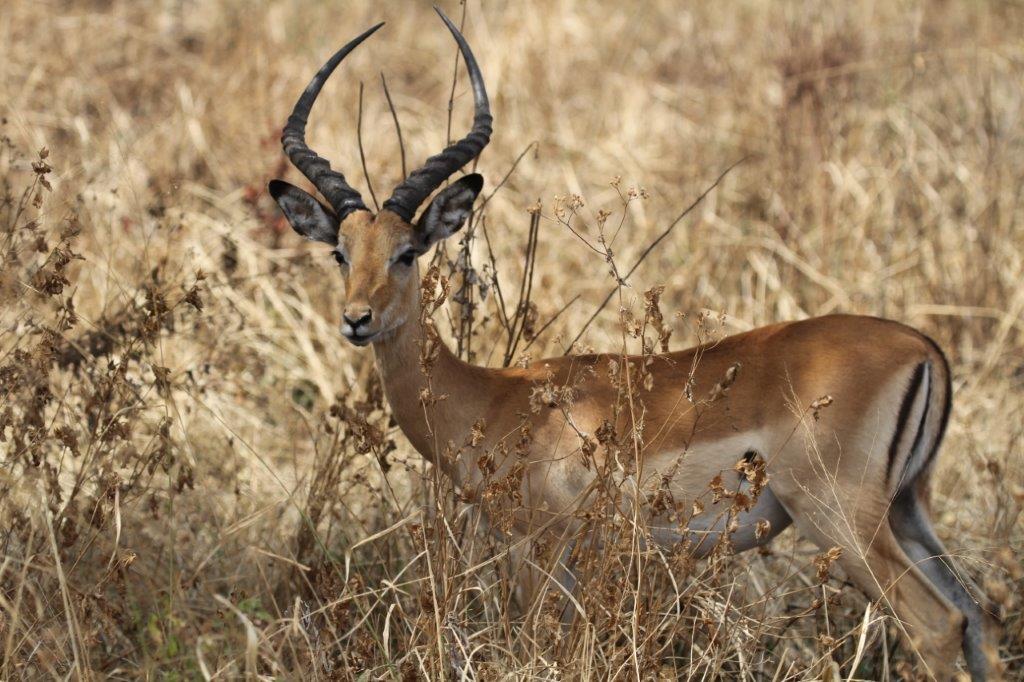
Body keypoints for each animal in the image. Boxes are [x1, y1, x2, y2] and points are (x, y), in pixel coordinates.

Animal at [268, 9, 1001, 679]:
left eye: (407, 252)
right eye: (340, 252)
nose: (357, 319)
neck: (496, 402)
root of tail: (923, 347)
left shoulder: (545, 553)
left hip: (837, 515)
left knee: (936, 625)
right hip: (907, 509)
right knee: (978, 619)